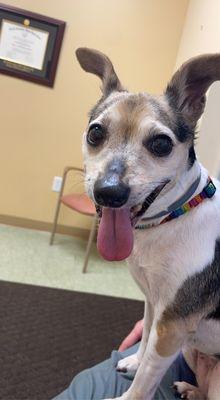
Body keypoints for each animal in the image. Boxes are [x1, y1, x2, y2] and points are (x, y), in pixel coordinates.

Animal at [75, 49, 220, 400]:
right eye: (95, 133)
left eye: (161, 144)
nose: (109, 192)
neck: (172, 217)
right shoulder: (154, 304)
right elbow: (145, 346)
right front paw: (135, 360)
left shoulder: (171, 329)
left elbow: (142, 385)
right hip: (192, 350)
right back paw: (190, 389)